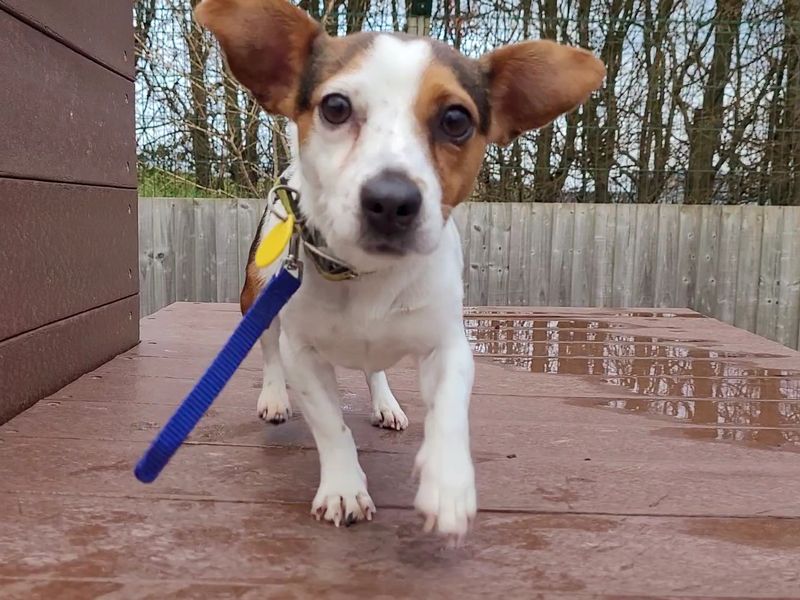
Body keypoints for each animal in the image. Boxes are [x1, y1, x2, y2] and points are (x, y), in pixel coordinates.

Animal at [195, 0, 608, 540]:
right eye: (335, 107)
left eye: (455, 119)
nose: (391, 200)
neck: (367, 275)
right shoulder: (303, 355)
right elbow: (331, 426)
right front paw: (344, 486)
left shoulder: (449, 347)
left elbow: (450, 411)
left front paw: (447, 482)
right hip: (259, 293)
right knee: (267, 348)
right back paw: (274, 397)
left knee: (375, 371)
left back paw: (386, 403)